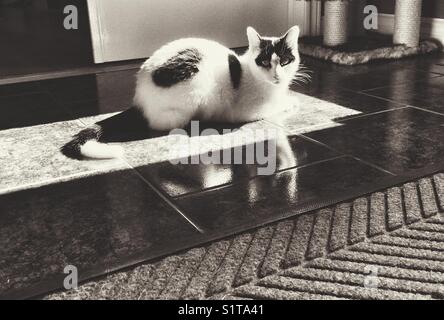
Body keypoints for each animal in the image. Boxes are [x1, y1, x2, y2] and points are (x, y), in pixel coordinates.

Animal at [63, 25, 306, 159]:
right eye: (264, 62)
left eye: (285, 61)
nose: (277, 76)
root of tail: (139, 95)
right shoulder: (248, 110)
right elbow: (277, 105)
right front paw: (291, 101)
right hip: (193, 91)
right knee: (161, 123)